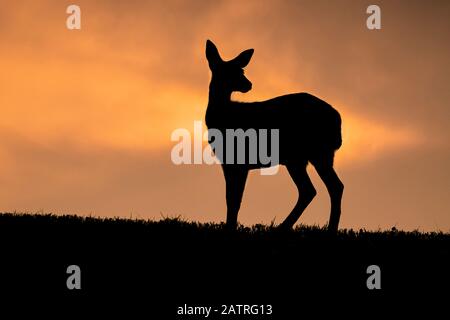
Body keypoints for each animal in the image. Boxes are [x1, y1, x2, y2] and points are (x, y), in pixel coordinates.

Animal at [205, 40, 344, 232]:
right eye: (230, 71)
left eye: (241, 71)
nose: (249, 84)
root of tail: (338, 120)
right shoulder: (230, 162)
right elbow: (231, 198)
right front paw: (229, 226)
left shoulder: (240, 161)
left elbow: (234, 199)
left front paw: (230, 228)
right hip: (301, 158)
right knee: (312, 189)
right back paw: (286, 226)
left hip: (316, 152)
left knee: (330, 187)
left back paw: (326, 228)